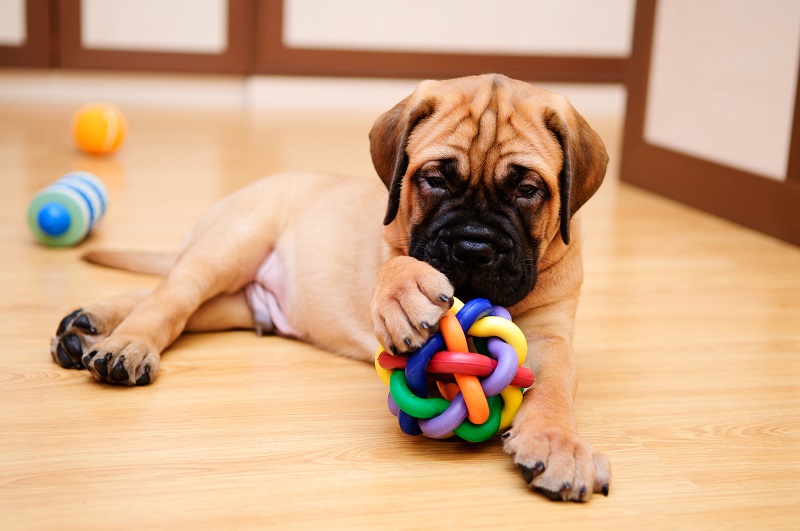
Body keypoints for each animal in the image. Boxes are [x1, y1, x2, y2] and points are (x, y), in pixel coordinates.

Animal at [51, 74, 612, 502]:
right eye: (434, 180)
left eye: (528, 190)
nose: (473, 248)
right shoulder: (392, 243)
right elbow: (397, 262)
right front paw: (405, 295)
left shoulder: (551, 337)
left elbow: (555, 386)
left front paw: (559, 443)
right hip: (230, 246)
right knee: (171, 297)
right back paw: (122, 344)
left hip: (241, 301)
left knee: (177, 302)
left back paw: (87, 327)